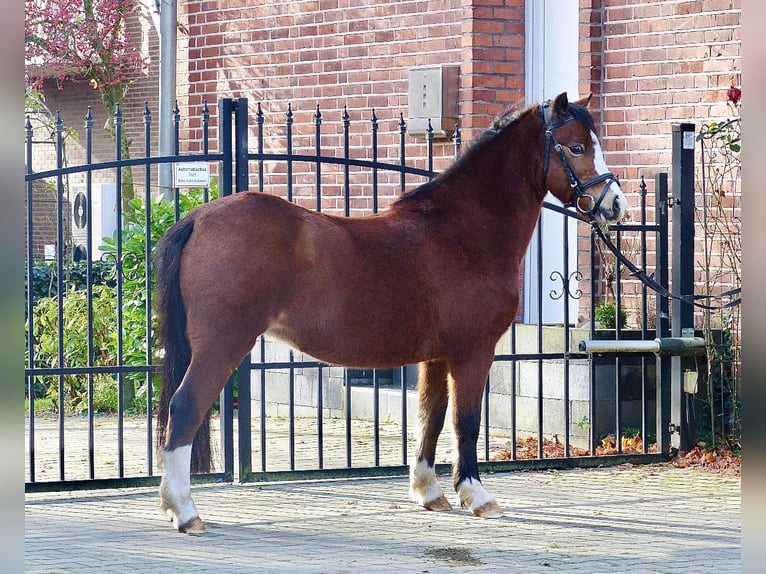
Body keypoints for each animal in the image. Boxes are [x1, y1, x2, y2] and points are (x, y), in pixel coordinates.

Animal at [153, 92, 628, 532]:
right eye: (575, 147)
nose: (615, 205)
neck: (462, 231)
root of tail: (197, 218)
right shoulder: (473, 352)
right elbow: (467, 421)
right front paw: (476, 496)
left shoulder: (436, 356)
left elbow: (431, 416)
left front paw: (428, 492)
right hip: (222, 345)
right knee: (186, 407)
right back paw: (185, 512)